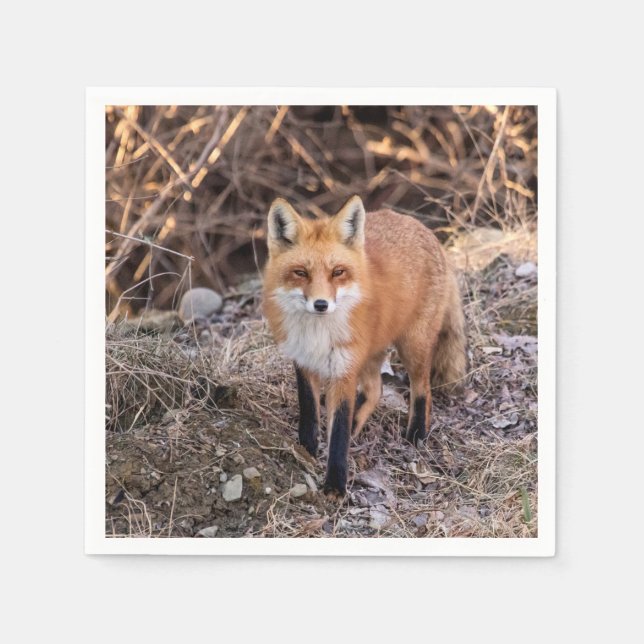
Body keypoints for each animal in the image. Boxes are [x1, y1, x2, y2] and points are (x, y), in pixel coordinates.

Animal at [262, 195, 467, 497]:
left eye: (337, 272)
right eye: (300, 272)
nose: (321, 304)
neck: (317, 334)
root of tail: (424, 229)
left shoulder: (344, 370)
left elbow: (338, 432)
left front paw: (335, 486)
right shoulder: (303, 361)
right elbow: (309, 411)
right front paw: (307, 448)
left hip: (412, 345)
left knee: (423, 389)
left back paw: (416, 434)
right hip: (370, 352)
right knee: (375, 390)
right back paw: (358, 423)